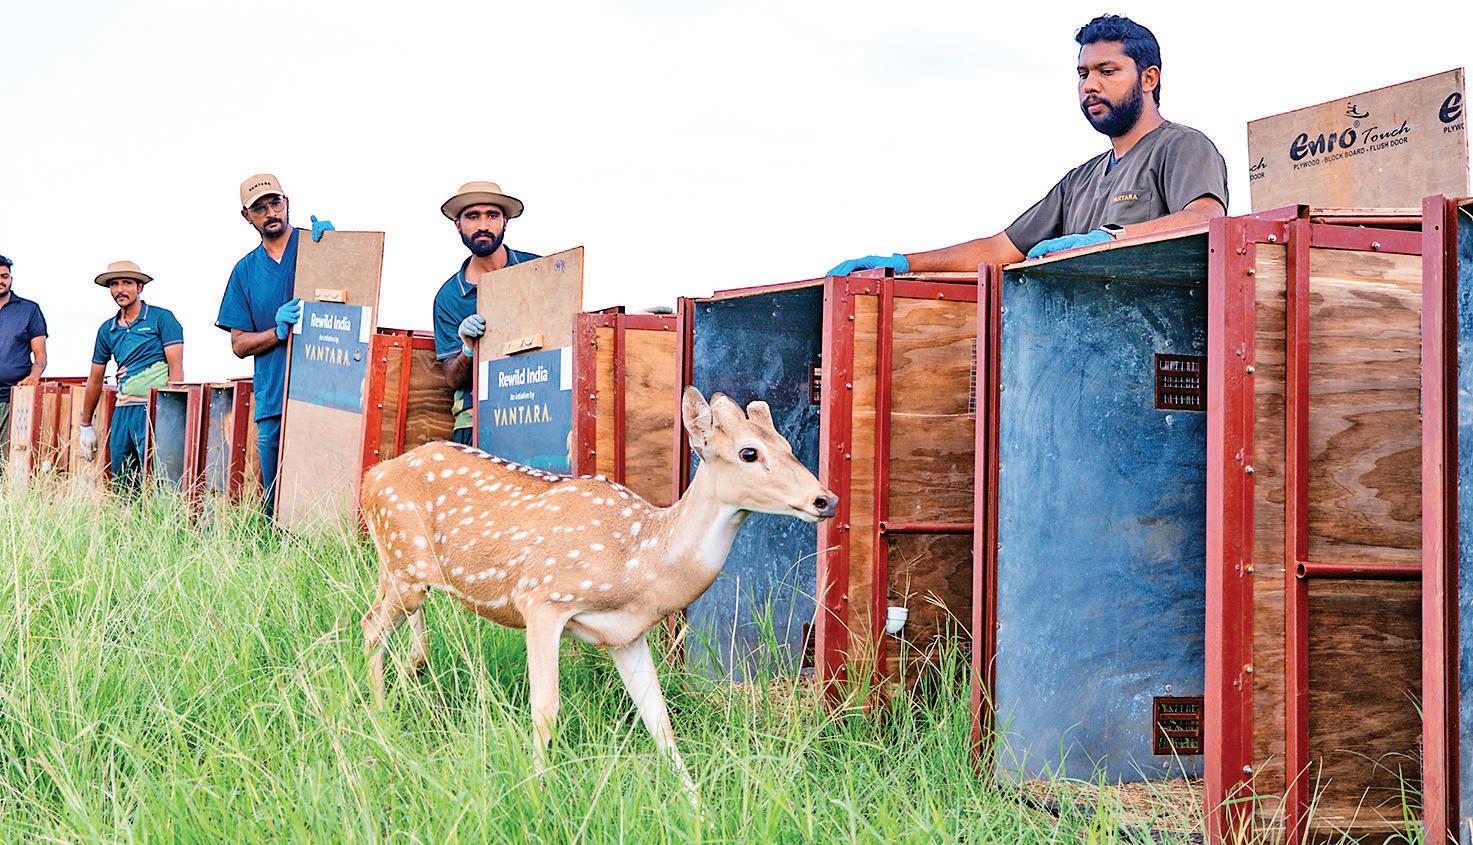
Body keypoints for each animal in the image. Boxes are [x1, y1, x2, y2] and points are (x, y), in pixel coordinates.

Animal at [358, 386, 838, 800]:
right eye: (748, 452)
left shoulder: (626, 636)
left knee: (391, 630)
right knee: (370, 628)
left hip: (401, 570)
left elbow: (659, 719)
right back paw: (381, 724)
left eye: (788, 445)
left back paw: (402, 690)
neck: (640, 563)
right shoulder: (542, 599)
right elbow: (545, 708)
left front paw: (696, 806)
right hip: (404, 566)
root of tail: (371, 478)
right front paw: (536, 795)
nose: (825, 500)